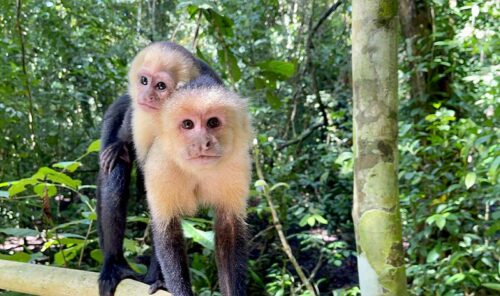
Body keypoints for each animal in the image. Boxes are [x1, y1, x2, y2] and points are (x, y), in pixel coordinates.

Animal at [96, 41, 222, 296]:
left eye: (161, 86)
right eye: (145, 81)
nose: (147, 95)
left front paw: (162, 280)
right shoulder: (139, 116)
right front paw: (119, 145)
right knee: (116, 172)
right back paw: (114, 264)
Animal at [138, 75, 252, 294]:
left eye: (213, 122)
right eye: (188, 124)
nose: (202, 142)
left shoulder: (237, 166)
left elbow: (228, 230)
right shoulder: (160, 165)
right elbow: (167, 230)